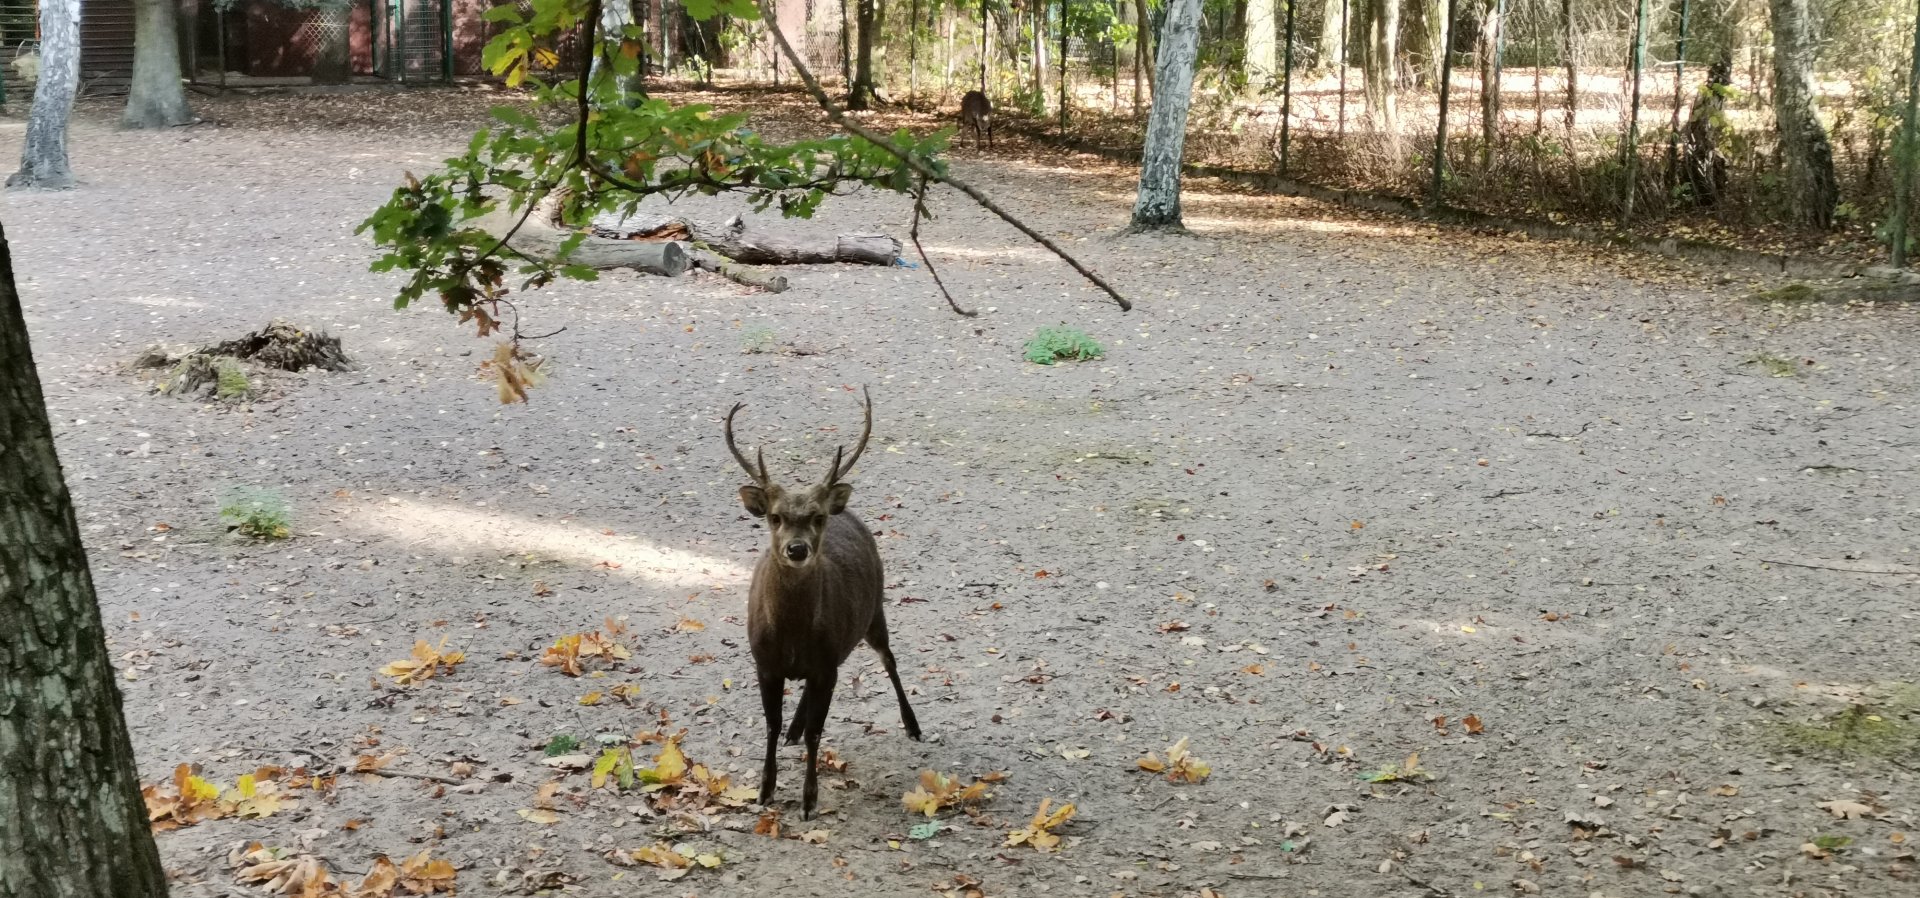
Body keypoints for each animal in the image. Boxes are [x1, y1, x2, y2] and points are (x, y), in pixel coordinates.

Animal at [724, 388, 921, 819]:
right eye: (775, 517)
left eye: (816, 517)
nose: (797, 549)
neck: (792, 635)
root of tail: (846, 508)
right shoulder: (765, 662)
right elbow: (771, 724)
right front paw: (764, 790)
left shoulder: (826, 664)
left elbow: (818, 732)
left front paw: (808, 799)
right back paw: (793, 731)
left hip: (873, 611)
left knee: (889, 660)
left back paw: (913, 725)